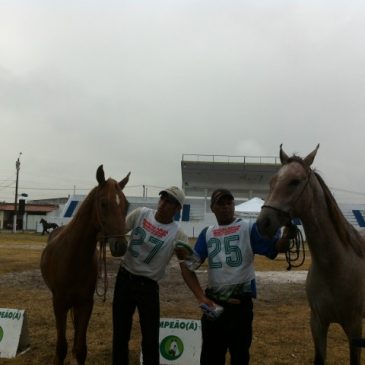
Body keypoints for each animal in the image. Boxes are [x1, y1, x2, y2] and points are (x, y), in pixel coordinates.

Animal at [40, 166, 129, 364]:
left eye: (126, 205)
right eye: (103, 203)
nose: (120, 246)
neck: (73, 258)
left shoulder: (86, 303)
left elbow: (81, 349)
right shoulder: (59, 303)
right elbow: (61, 347)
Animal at [255, 145, 364, 364]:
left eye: (295, 181)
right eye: (272, 181)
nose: (263, 223)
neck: (335, 267)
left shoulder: (355, 327)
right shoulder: (317, 323)